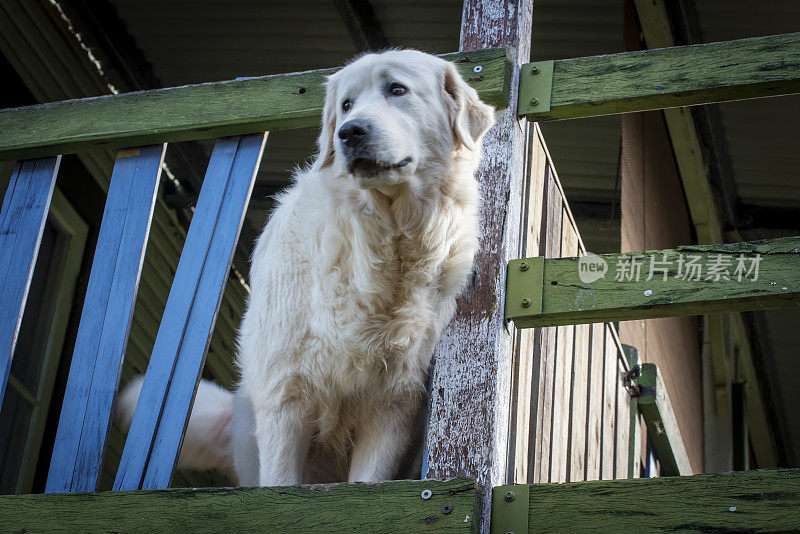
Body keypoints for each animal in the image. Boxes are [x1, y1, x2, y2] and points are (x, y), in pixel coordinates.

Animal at [119, 50, 494, 490]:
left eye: (396, 90)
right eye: (346, 105)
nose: (350, 133)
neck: (381, 243)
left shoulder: (394, 404)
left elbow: (367, 482)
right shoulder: (286, 394)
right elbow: (280, 485)